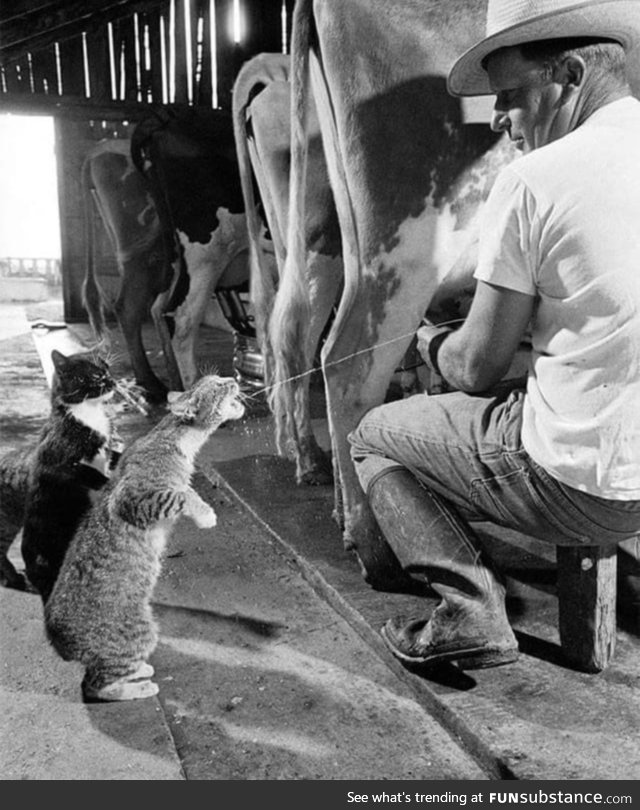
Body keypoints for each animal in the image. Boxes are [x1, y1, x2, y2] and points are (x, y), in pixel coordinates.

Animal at [45, 372, 245, 700]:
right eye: (217, 385)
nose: (233, 377)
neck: (174, 438)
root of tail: (57, 640)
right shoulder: (133, 500)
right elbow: (180, 495)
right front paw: (205, 515)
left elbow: (185, 489)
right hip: (140, 631)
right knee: (95, 685)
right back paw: (139, 686)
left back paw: (138, 672)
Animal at [131, 105, 272, 392]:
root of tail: (169, 115)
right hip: (207, 253)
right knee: (183, 320)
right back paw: (194, 389)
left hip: (176, 253)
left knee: (159, 308)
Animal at [272, 0, 516, 584]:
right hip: (405, 247)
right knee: (346, 359)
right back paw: (375, 547)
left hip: (334, 243)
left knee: (301, 337)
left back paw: (325, 488)